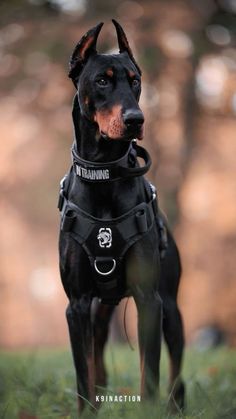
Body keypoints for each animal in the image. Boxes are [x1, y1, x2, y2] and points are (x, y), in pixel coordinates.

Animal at [58, 18, 185, 414]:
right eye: (102, 80)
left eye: (135, 81)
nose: (135, 119)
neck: (104, 175)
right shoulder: (77, 304)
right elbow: (82, 372)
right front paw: (87, 410)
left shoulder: (149, 298)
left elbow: (151, 373)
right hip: (100, 310)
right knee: (97, 355)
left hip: (171, 308)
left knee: (176, 369)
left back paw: (176, 406)